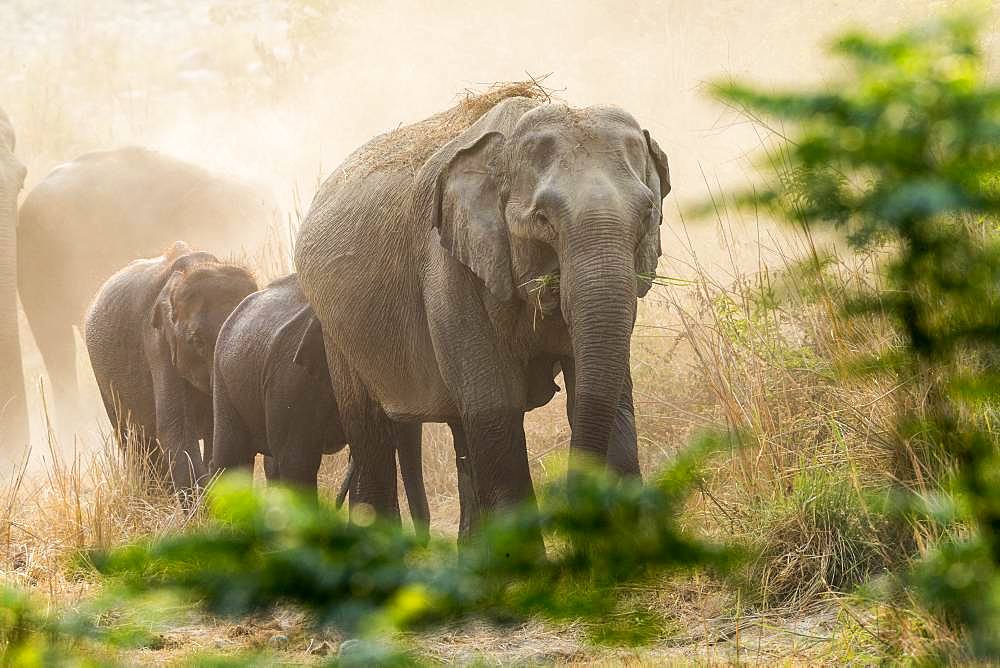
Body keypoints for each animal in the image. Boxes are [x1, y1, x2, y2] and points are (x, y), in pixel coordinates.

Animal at [296, 87, 672, 532]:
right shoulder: (447, 264)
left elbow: (605, 396)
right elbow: (495, 411)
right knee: (372, 436)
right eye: (542, 218)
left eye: (647, 214)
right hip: (337, 334)